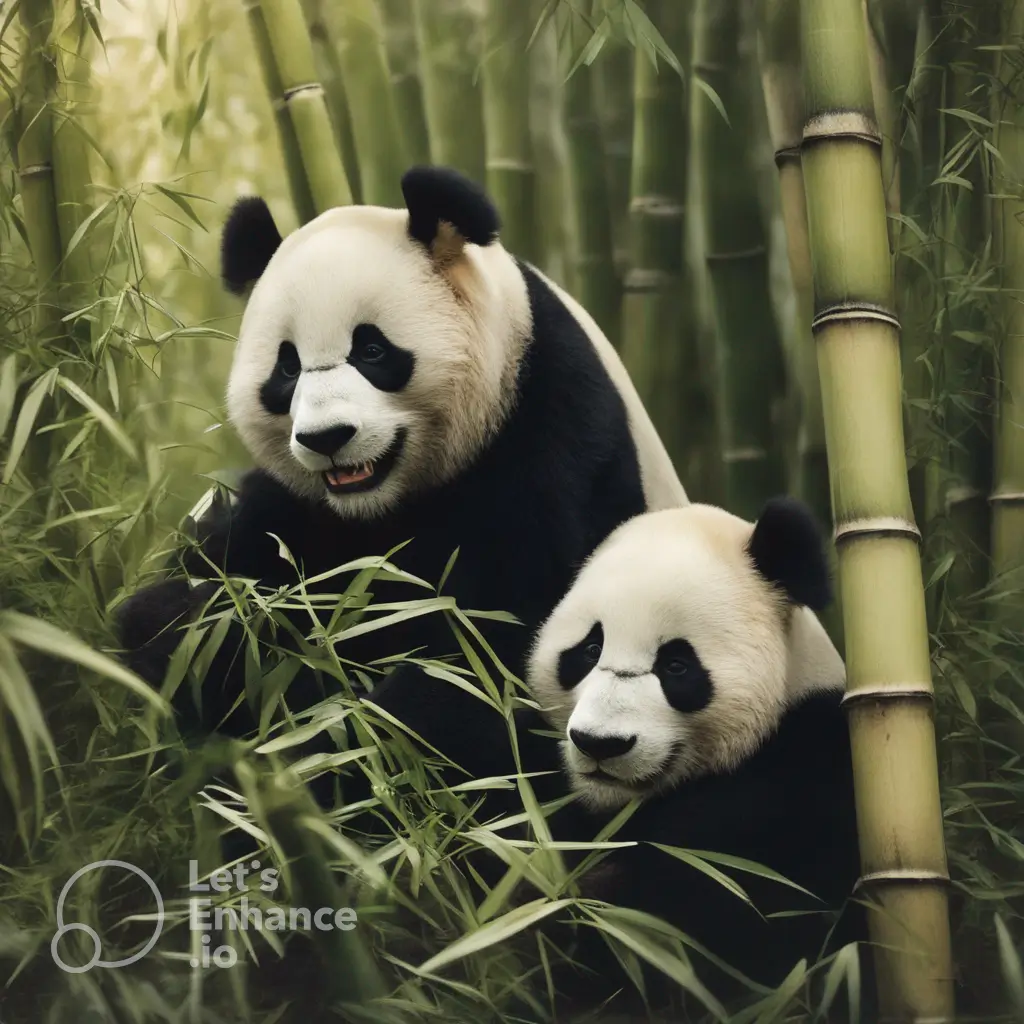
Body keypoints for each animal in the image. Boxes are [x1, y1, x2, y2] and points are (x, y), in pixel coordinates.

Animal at [116, 165, 688, 796]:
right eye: (287, 367)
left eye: (371, 349)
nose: (327, 437)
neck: (385, 504)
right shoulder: (296, 508)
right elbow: (217, 587)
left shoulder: (552, 433)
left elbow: (497, 660)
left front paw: (341, 747)